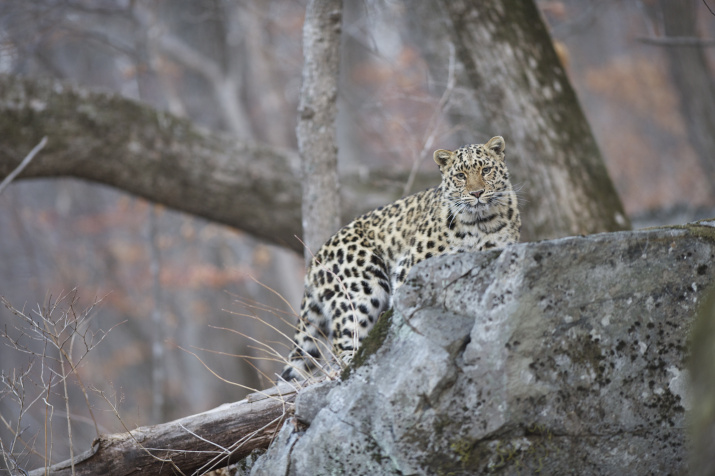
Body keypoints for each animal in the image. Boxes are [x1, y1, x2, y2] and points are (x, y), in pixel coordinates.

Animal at [282, 136, 524, 382]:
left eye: (486, 170)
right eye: (460, 176)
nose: (477, 193)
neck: (480, 222)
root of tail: (315, 261)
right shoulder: (410, 266)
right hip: (361, 288)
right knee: (342, 343)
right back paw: (353, 363)